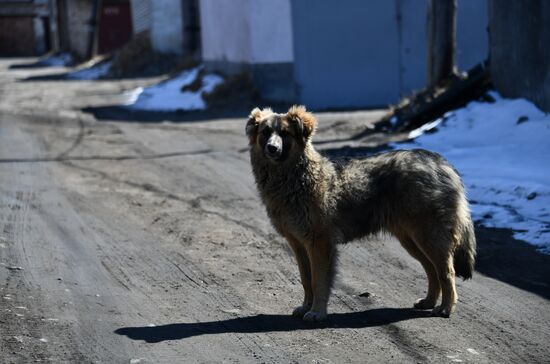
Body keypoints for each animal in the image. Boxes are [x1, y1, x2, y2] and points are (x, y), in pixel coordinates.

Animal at [248, 105, 476, 322]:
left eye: (285, 133)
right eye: (265, 132)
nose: (272, 148)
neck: (293, 176)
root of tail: (441, 163)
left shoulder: (319, 242)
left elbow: (318, 281)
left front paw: (317, 313)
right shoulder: (298, 243)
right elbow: (306, 280)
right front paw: (306, 307)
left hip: (429, 236)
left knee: (447, 273)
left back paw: (445, 308)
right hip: (412, 239)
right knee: (432, 270)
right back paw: (429, 301)